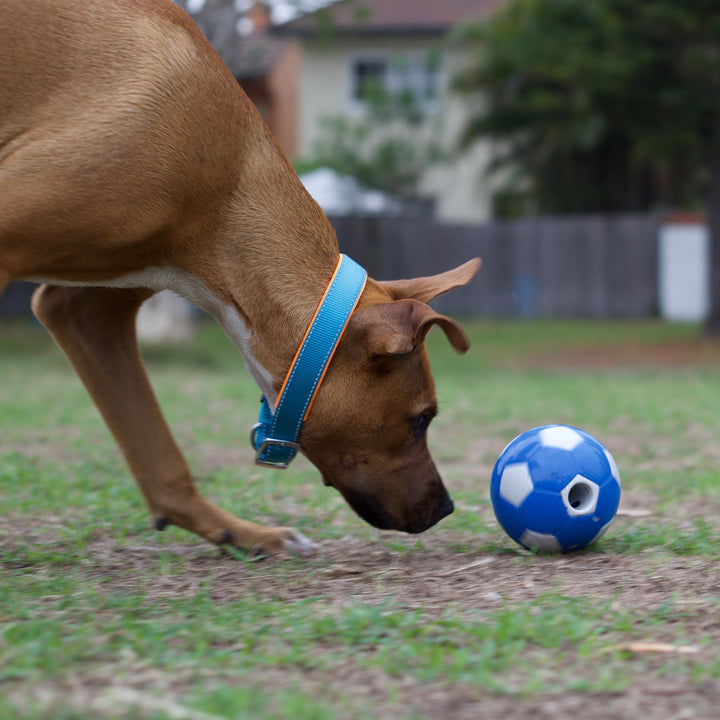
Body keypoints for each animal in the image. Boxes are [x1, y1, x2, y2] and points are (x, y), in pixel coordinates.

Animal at [4, 0, 484, 556]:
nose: (446, 507)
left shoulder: (85, 311)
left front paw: (243, 532)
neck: (225, 179)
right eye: (422, 419)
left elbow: (161, 459)